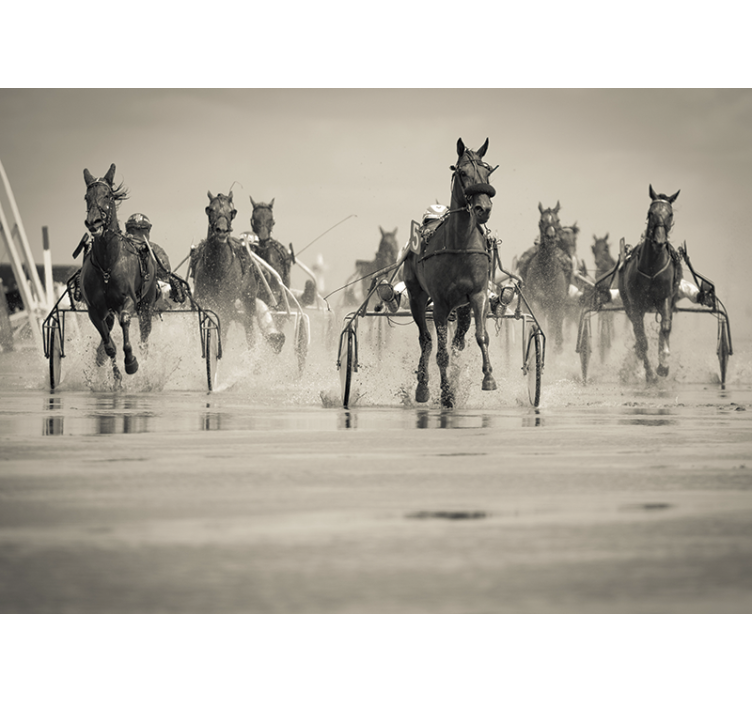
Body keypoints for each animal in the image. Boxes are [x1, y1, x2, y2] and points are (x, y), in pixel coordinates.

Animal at [80, 163, 157, 381]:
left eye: (107, 195)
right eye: (86, 197)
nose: (94, 222)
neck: (108, 264)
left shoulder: (129, 301)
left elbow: (125, 321)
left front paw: (131, 362)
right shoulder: (95, 311)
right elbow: (109, 346)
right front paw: (116, 378)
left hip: (147, 305)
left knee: (144, 338)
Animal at [189, 191, 261, 349]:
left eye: (231, 211)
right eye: (211, 209)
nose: (221, 231)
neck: (216, 269)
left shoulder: (225, 306)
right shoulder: (202, 301)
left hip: (248, 298)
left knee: (249, 327)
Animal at [402, 137, 496, 408]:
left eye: (487, 171)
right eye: (462, 172)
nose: (483, 208)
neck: (460, 244)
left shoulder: (477, 295)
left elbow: (481, 336)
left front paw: (488, 377)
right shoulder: (441, 304)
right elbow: (441, 352)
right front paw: (446, 393)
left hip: (461, 306)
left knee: (459, 337)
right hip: (416, 296)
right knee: (426, 340)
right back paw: (423, 387)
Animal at [517, 202, 572, 353]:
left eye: (557, 220)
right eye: (542, 221)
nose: (551, 237)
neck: (547, 273)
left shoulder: (557, 305)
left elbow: (557, 334)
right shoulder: (536, 304)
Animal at [618, 185, 682, 383]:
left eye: (670, 213)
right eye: (650, 212)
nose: (659, 240)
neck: (652, 267)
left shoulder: (665, 297)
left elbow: (666, 328)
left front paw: (663, 366)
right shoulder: (635, 304)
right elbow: (642, 339)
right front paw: (650, 373)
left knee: (664, 328)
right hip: (628, 305)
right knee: (639, 334)